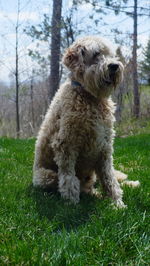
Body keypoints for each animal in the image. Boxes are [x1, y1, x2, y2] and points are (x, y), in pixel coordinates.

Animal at [32, 35, 139, 208]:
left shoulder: (104, 147)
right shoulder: (66, 144)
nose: (114, 66)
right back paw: (93, 195)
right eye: (96, 54)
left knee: (101, 182)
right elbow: (69, 178)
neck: (91, 98)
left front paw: (117, 203)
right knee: (80, 186)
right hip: (45, 176)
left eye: (110, 54)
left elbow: (109, 178)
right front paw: (71, 203)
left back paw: (129, 184)